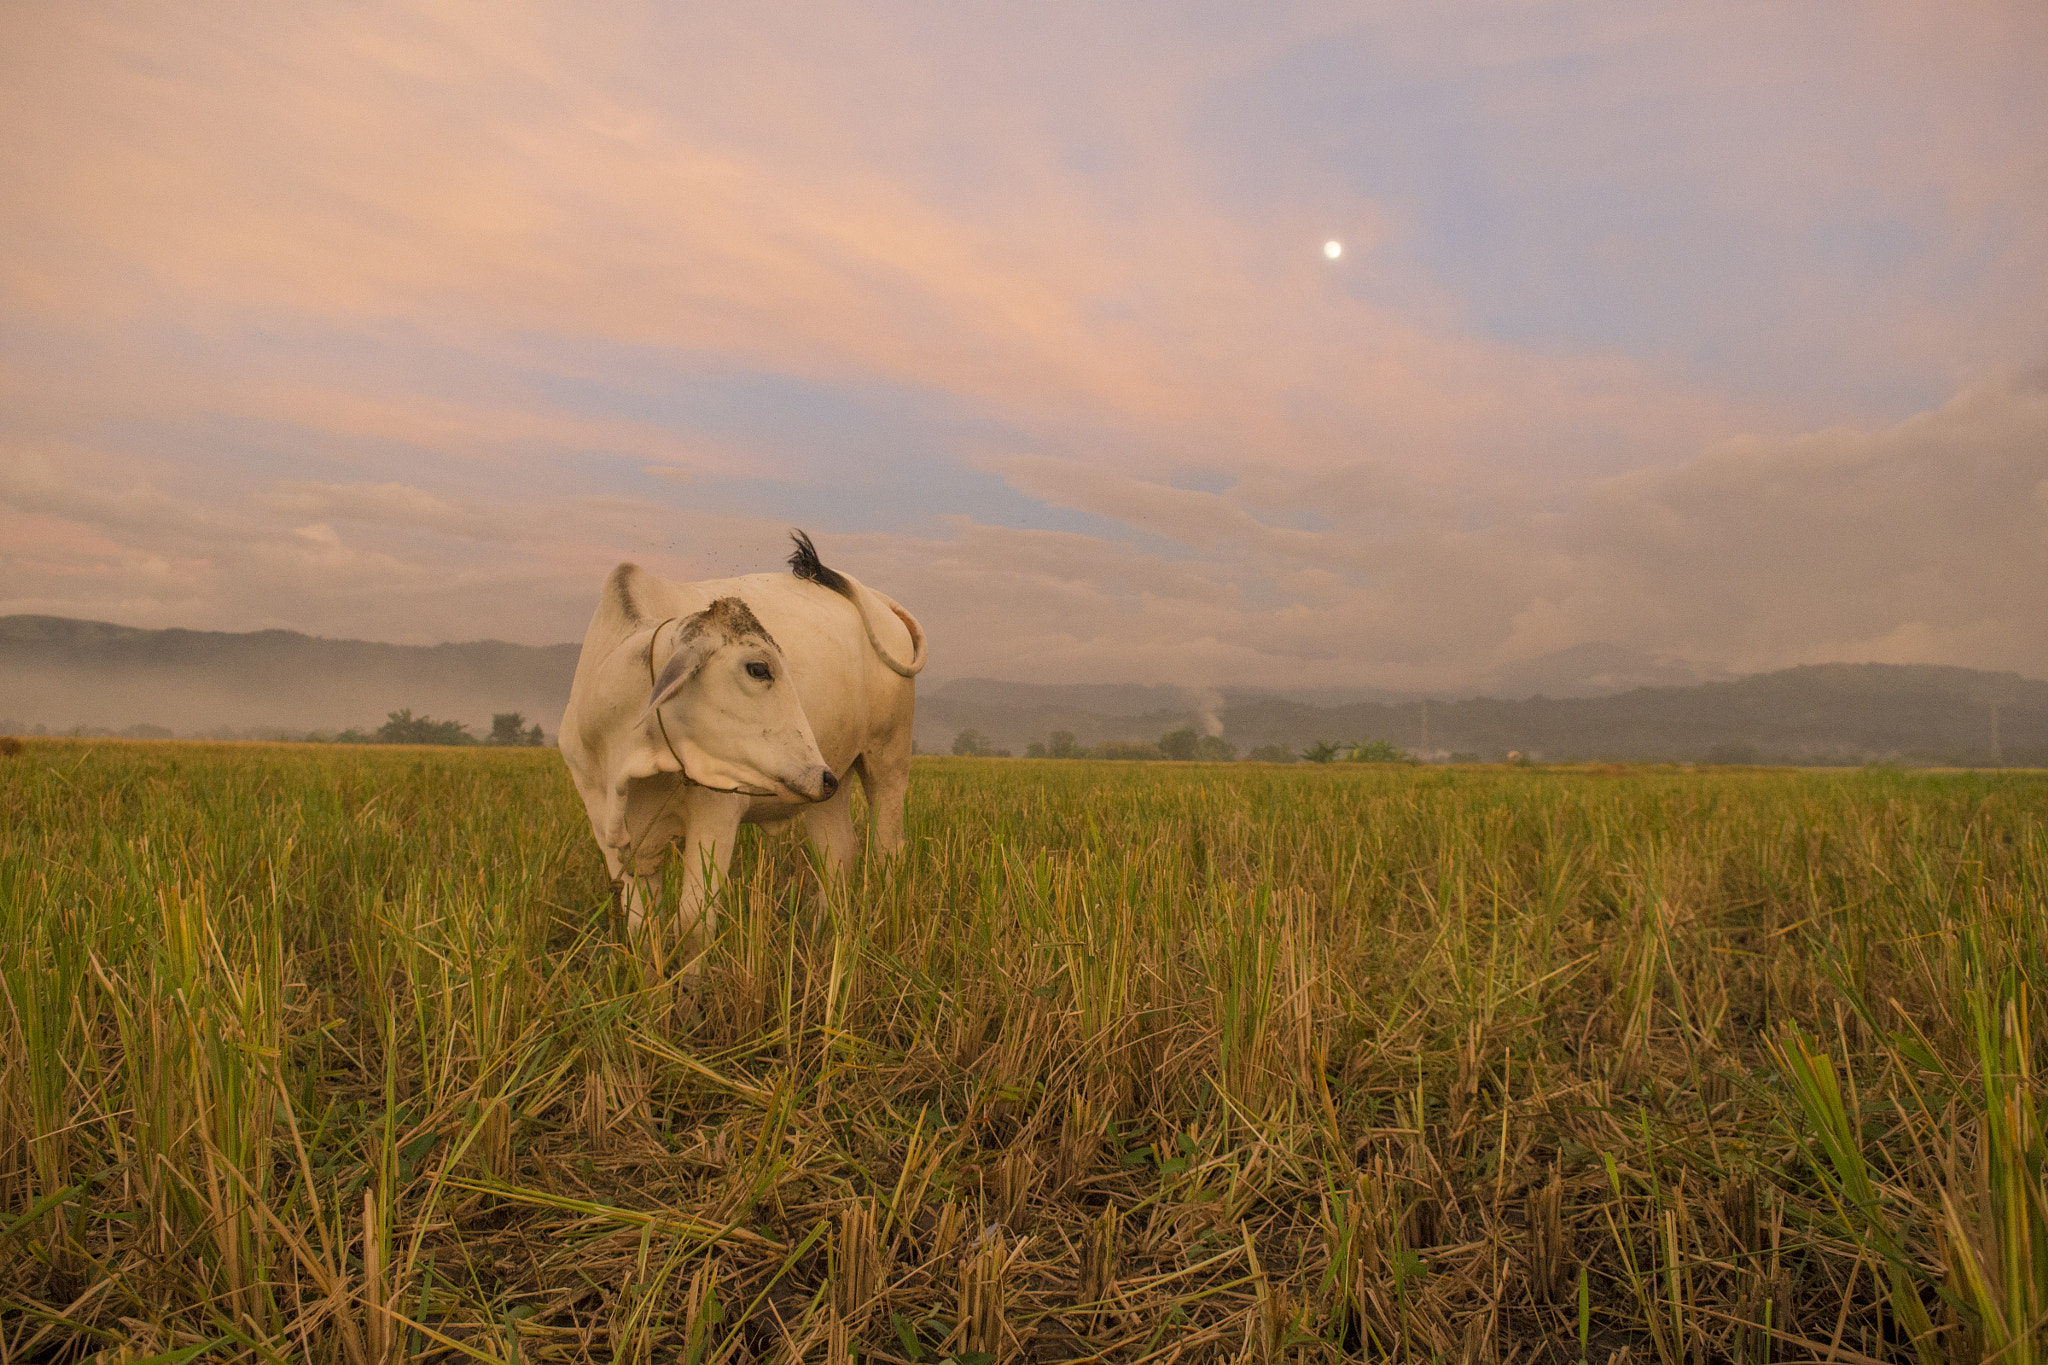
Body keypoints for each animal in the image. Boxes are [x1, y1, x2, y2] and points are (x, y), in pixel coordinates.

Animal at [559, 531, 926, 971]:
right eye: (758, 668)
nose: (819, 775)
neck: (630, 761)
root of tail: (878, 600)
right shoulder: (609, 831)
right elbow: (641, 929)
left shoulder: (715, 816)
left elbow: (693, 923)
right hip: (832, 782)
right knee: (837, 856)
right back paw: (823, 938)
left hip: (885, 761)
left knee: (889, 852)